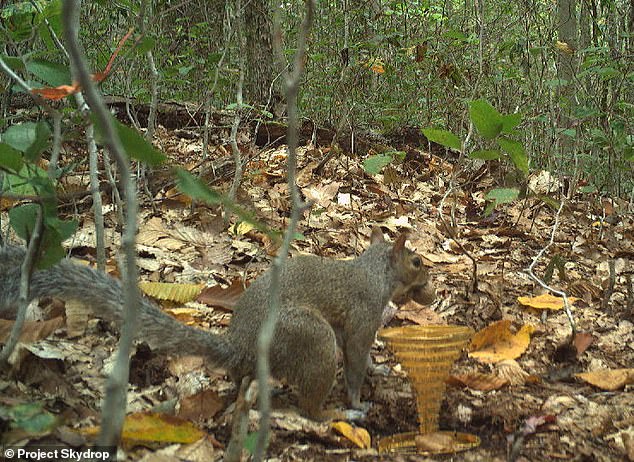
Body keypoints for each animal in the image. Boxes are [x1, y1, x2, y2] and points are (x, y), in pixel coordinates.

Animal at [0, 229, 434, 420]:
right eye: (415, 262)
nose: (430, 283)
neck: (375, 272)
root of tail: (240, 348)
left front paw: (379, 369)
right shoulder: (362, 315)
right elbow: (356, 358)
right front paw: (358, 399)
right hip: (309, 338)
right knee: (309, 407)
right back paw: (337, 416)